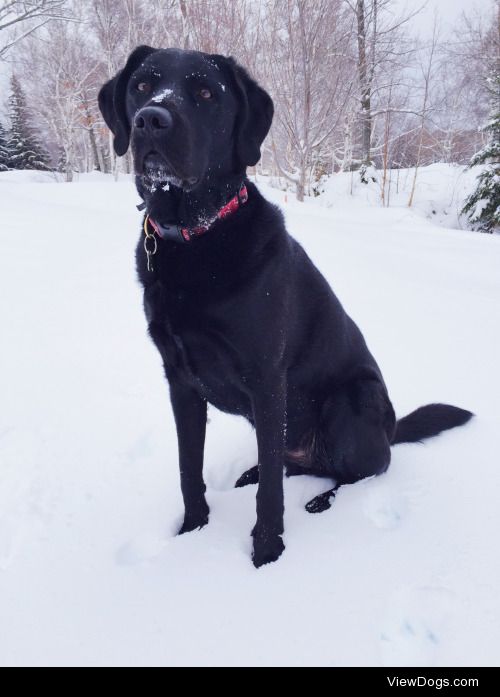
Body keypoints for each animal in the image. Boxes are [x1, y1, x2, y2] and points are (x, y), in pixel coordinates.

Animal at [98, 47, 472, 564]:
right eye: (141, 85)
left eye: (206, 93)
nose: (151, 119)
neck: (196, 239)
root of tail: (391, 429)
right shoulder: (180, 382)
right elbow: (189, 468)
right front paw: (193, 531)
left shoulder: (267, 378)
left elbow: (271, 494)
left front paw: (267, 551)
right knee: (289, 462)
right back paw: (254, 471)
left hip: (350, 401)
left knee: (362, 471)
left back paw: (322, 499)